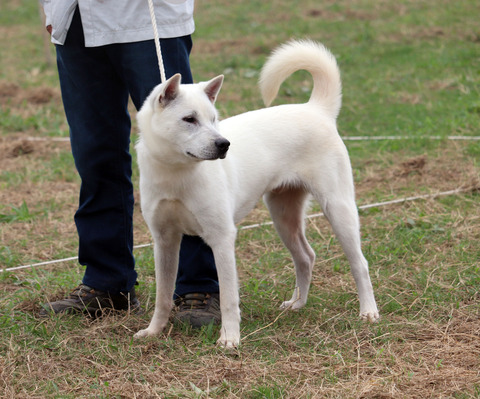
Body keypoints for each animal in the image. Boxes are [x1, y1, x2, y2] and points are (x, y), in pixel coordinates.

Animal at [134, 39, 378, 348]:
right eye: (189, 119)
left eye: (214, 119)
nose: (224, 145)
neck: (176, 172)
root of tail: (316, 109)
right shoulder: (164, 241)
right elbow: (163, 296)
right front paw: (153, 331)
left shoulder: (221, 239)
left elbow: (228, 298)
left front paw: (230, 338)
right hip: (283, 217)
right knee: (306, 257)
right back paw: (297, 304)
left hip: (338, 209)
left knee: (360, 263)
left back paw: (368, 311)